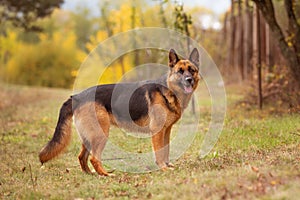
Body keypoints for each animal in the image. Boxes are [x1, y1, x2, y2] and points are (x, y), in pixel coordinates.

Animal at [39, 48, 199, 177]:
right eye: (180, 71)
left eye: (191, 70)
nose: (189, 80)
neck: (169, 89)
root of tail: (77, 96)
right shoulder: (158, 132)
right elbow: (160, 153)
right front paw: (163, 168)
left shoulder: (166, 131)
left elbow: (166, 150)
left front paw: (167, 165)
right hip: (101, 134)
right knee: (93, 158)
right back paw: (105, 175)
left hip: (89, 136)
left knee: (82, 157)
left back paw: (91, 174)